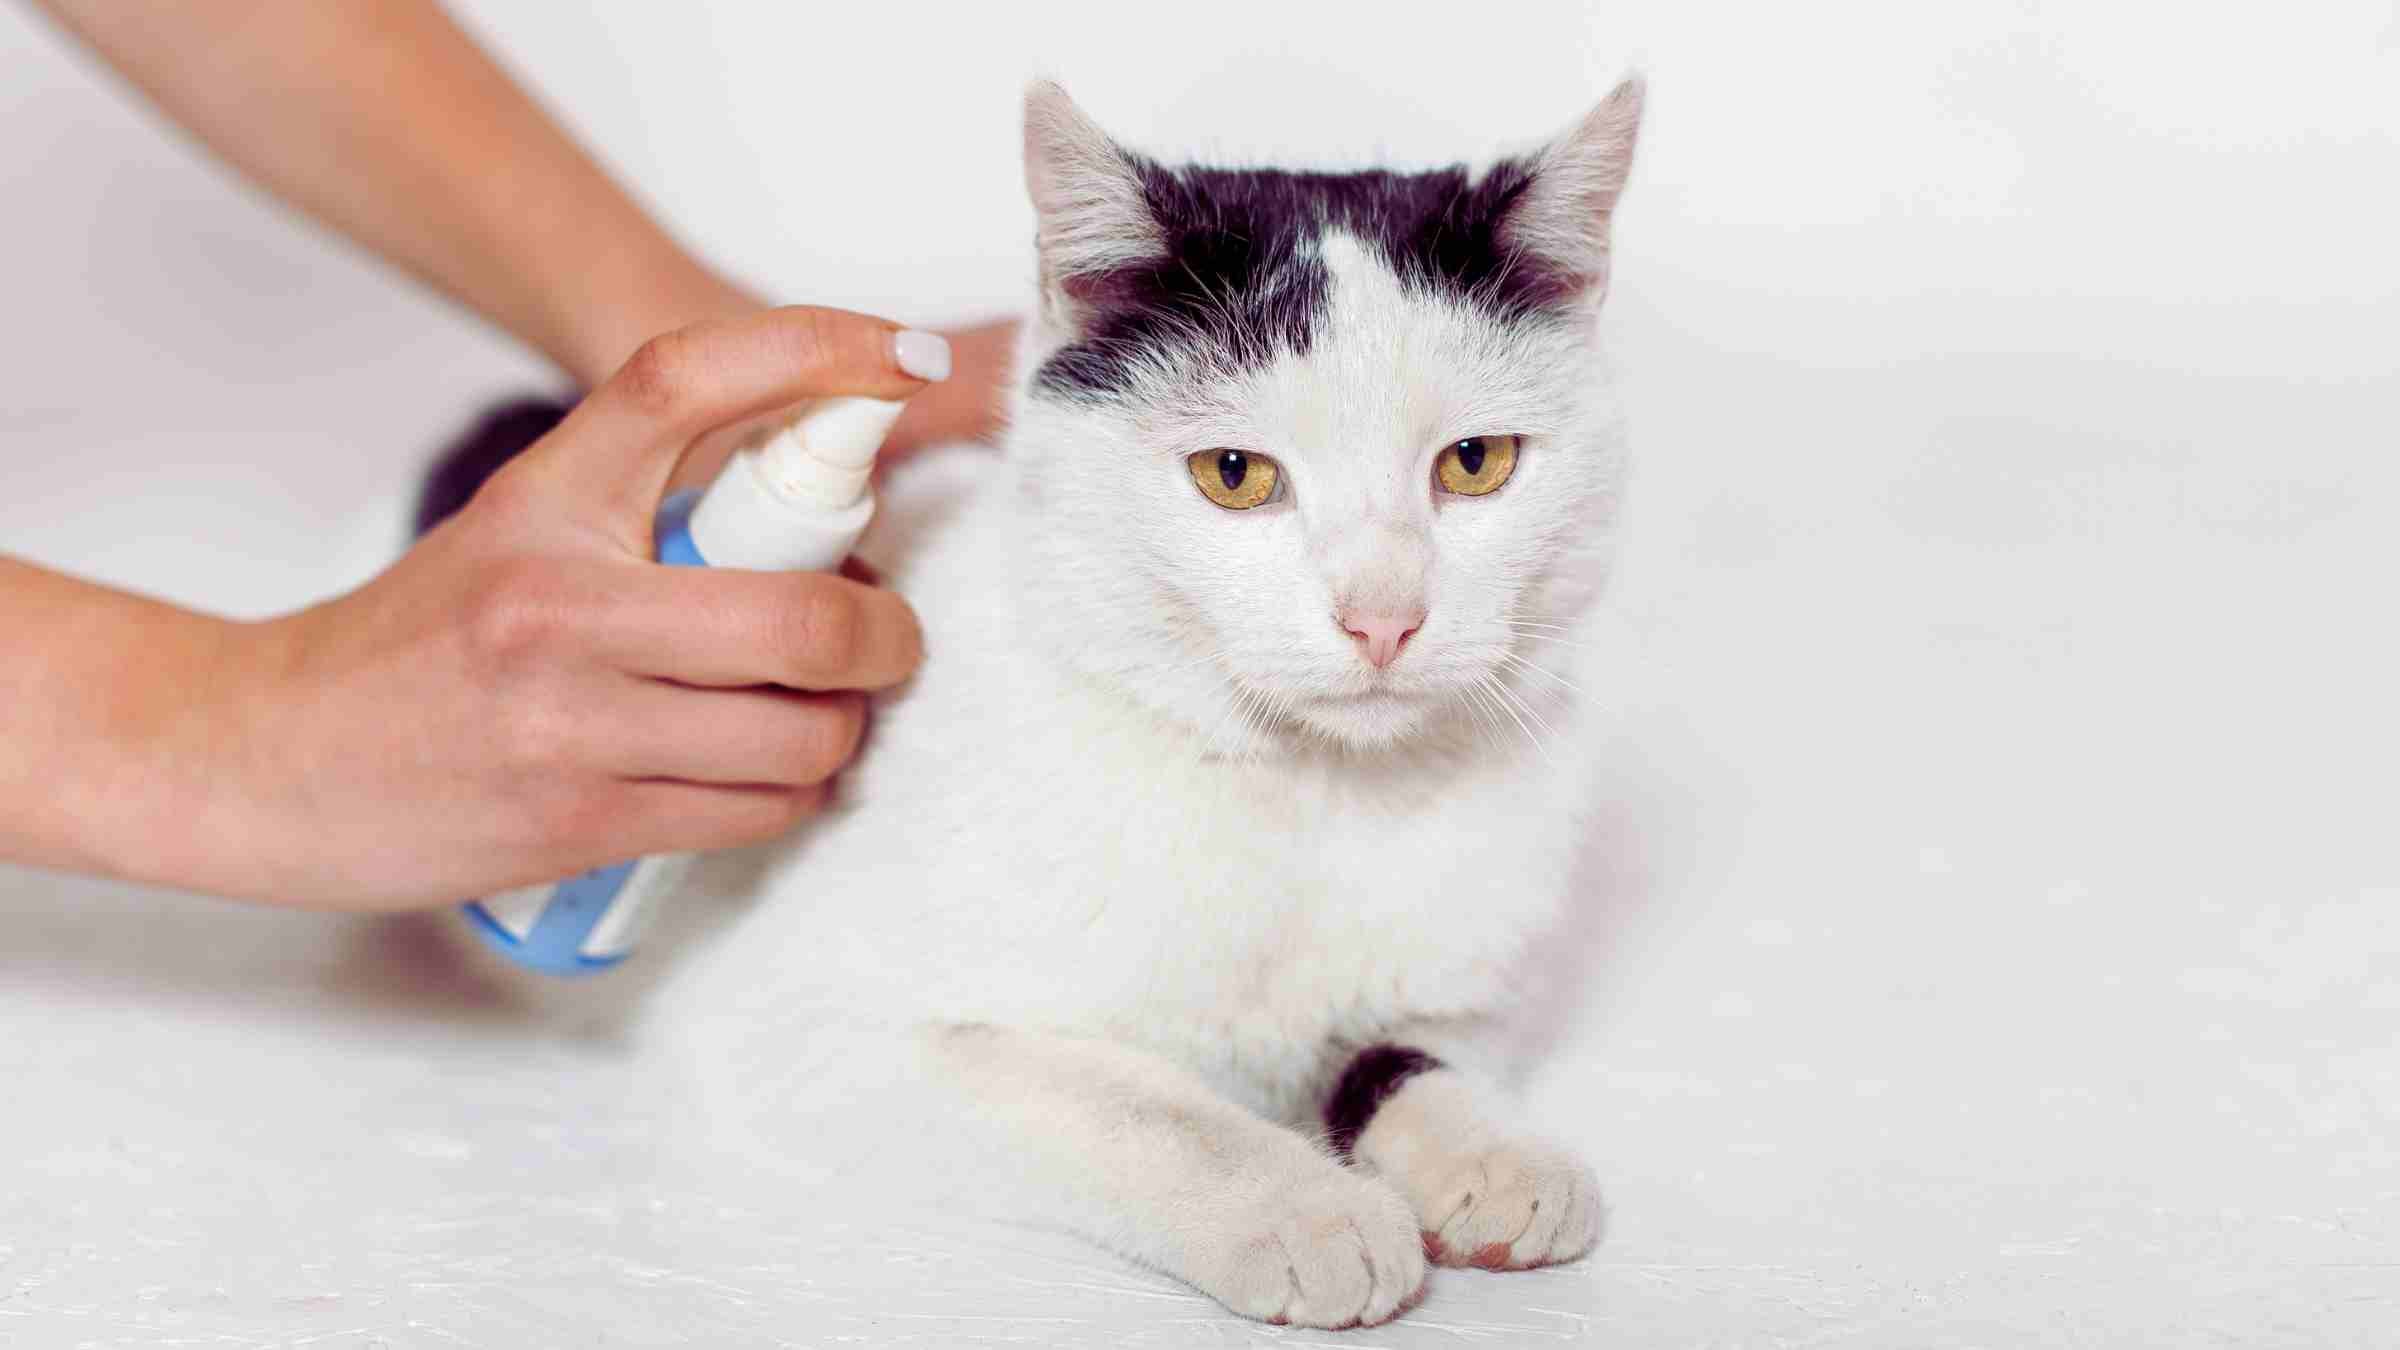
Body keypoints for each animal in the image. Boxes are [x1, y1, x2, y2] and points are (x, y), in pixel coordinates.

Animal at [436, 76, 1651, 1325]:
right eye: (1234, 475)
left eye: (1475, 463)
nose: (1384, 618)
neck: (1311, 795)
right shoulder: (807, 1029)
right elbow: (1127, 1102)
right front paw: (1303, 1208)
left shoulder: (1473, 993)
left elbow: (1414, 1050)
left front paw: (1492, 1153)